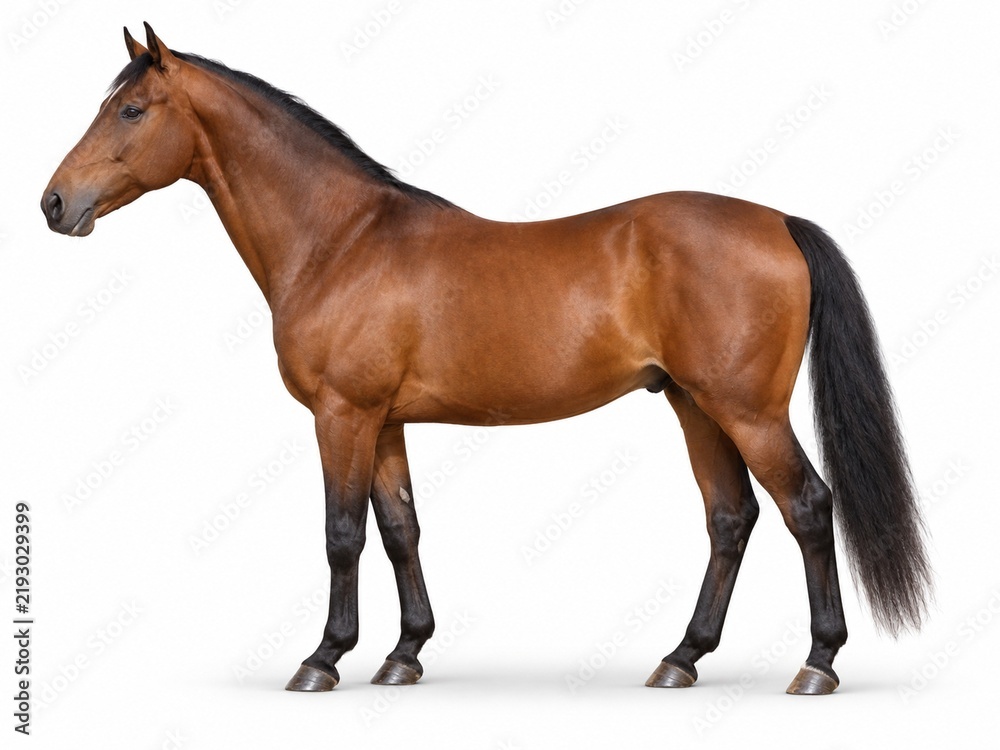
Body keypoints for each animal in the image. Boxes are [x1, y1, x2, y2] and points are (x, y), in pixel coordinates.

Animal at [41, 23, 931, 695]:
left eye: (131, 109)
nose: (54, 203)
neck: (340, 241)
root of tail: (778, 221)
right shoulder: (384, 422)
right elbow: (400, 529)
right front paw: (404, 654)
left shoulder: (342, 416)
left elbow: (341, 534)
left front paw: (323, 658)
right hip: (694, 405)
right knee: (730, 518)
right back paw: (681, 659)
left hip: (747, 411)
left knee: (806, 507)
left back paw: (817, 664)